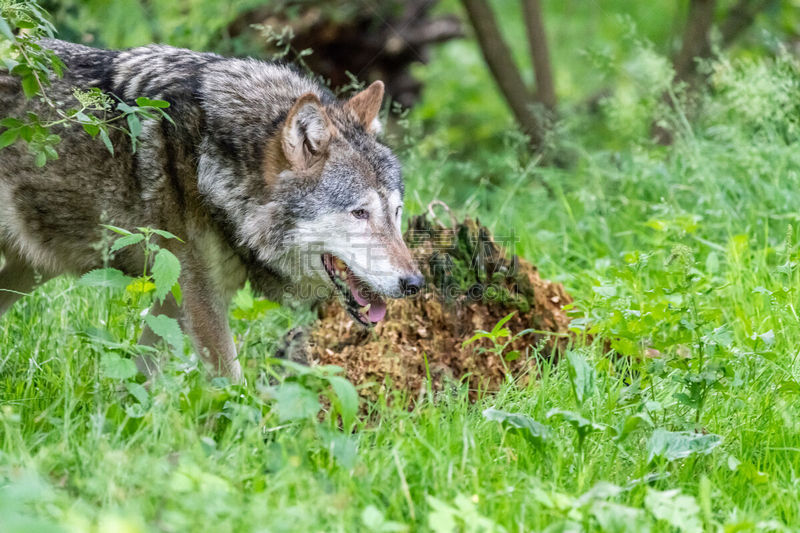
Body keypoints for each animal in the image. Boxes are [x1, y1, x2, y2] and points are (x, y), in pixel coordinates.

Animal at [0, 39, 424, 380]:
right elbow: (232, 386)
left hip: (25, 274)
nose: (415, 284)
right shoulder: (201, 295)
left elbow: (137, 381)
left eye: (396, 212)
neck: (212, 156)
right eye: (359, 213)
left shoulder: (173, 297)